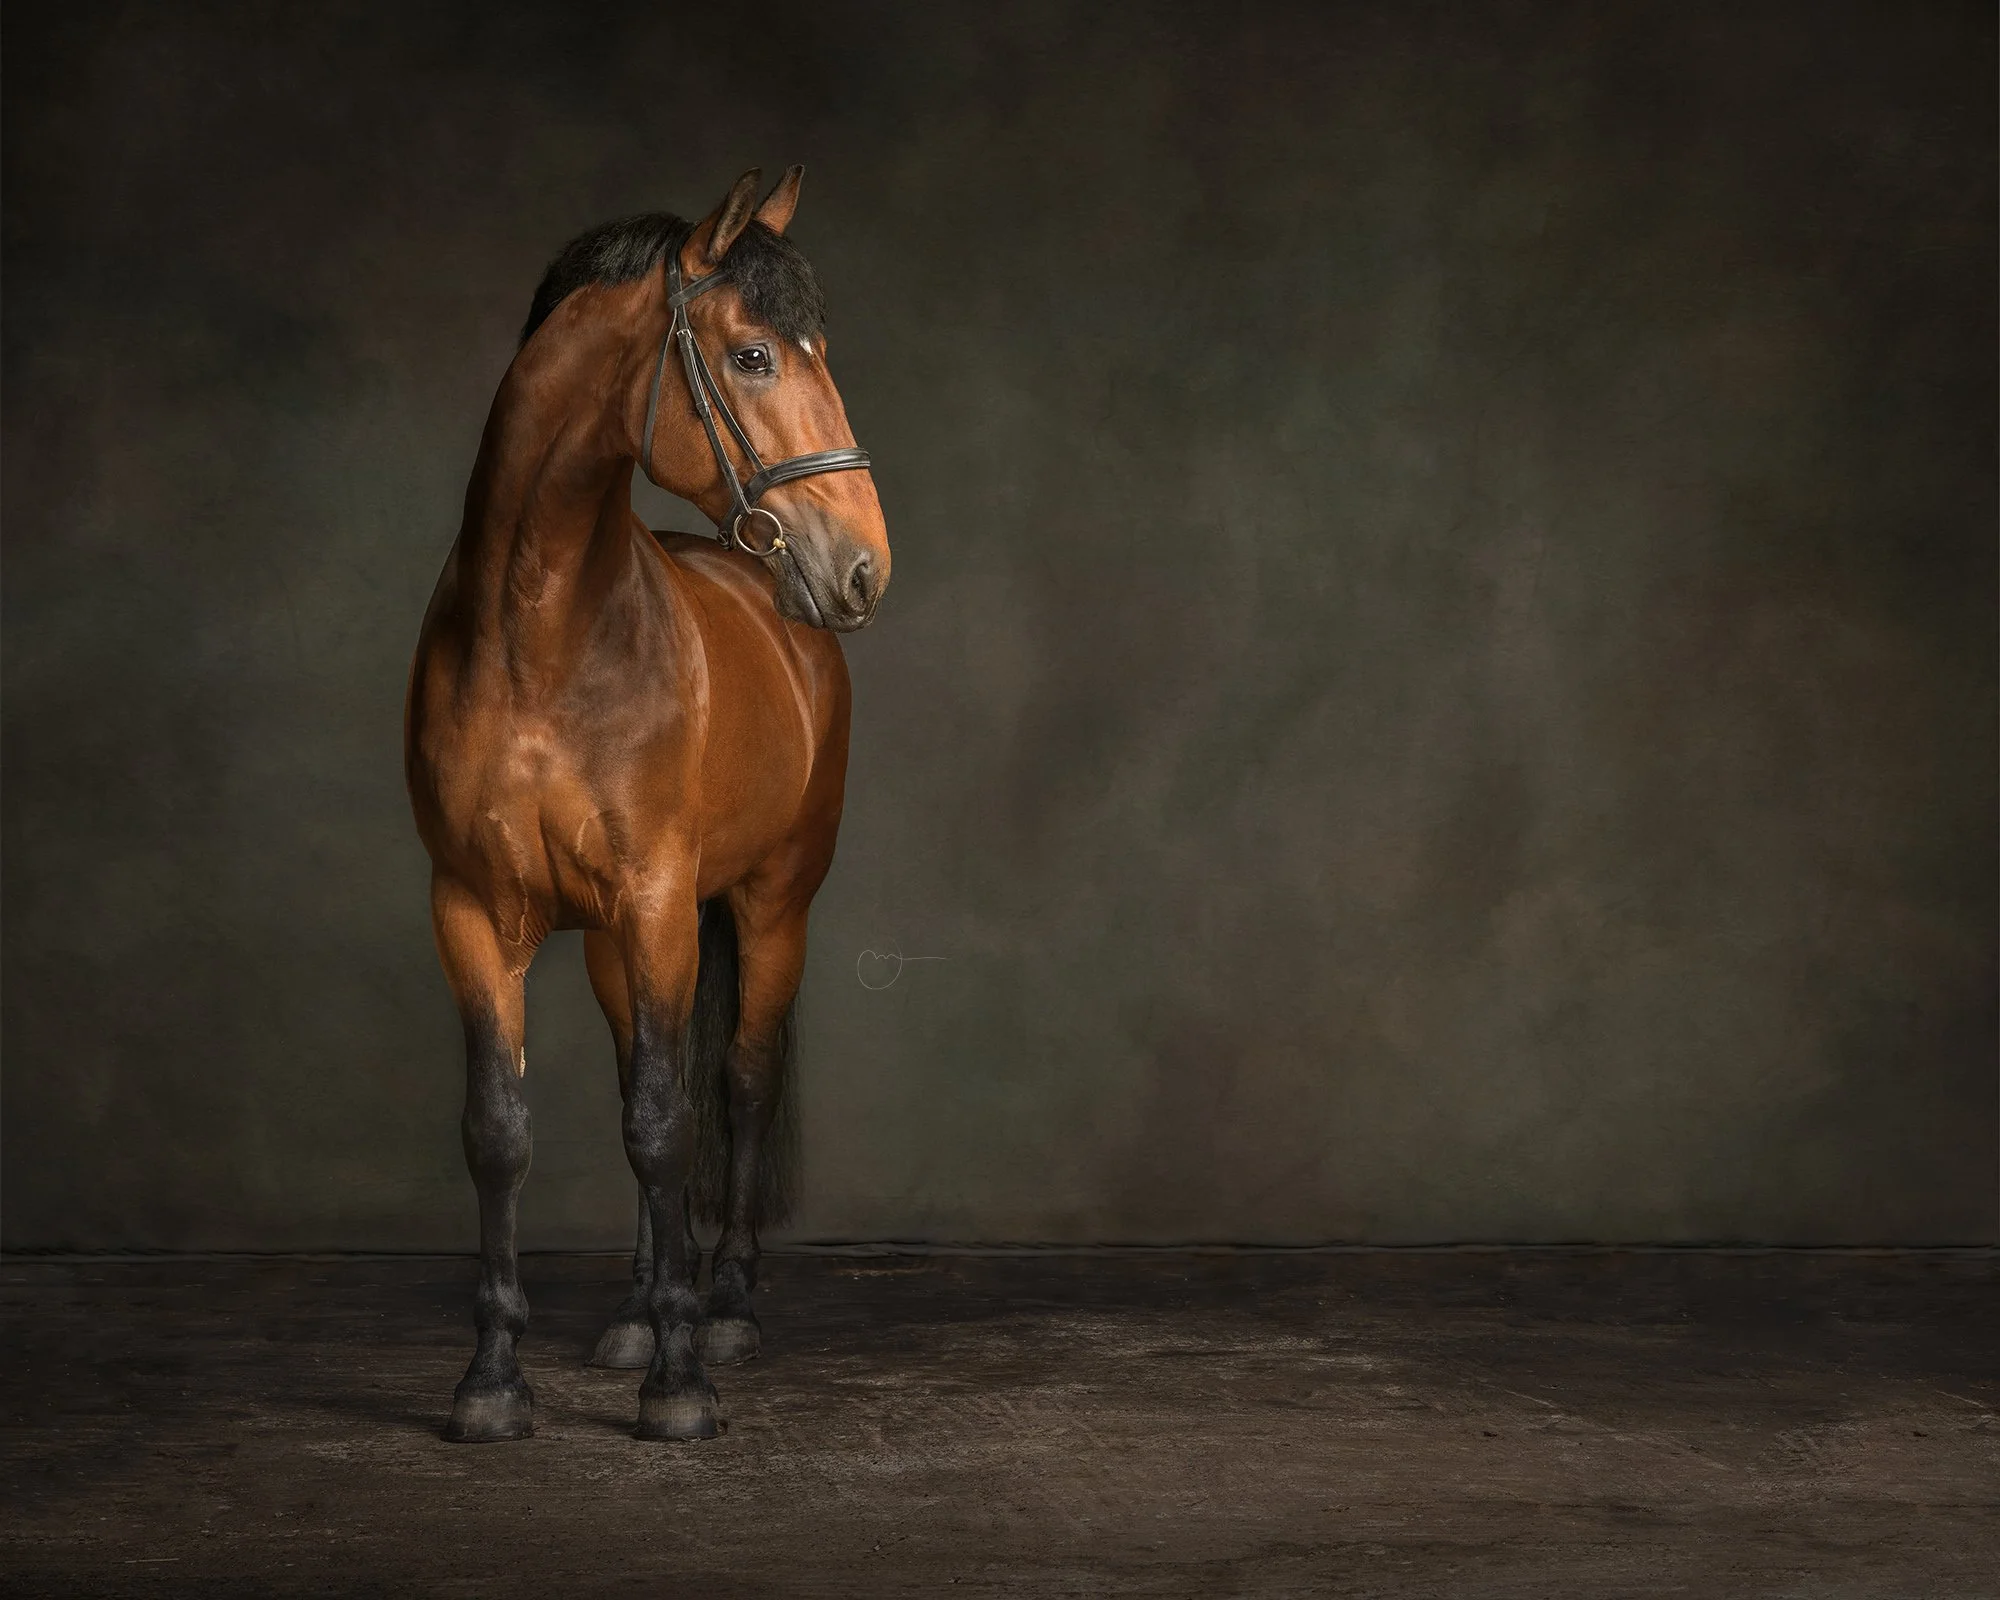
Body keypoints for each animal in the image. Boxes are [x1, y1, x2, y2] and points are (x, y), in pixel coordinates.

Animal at [404, 167, 888, 1443]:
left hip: (769, 907)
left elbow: (672, 1126)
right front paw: (493, 1381)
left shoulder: (665, 900)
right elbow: (502, 1133)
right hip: (612, 944)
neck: (538, 635)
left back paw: (721, 1308)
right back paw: (631, 1312)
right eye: (754, 354)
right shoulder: (472, 911)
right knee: (644, 1084)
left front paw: (679, 1382)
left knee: (738, 1085)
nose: (863, 566)